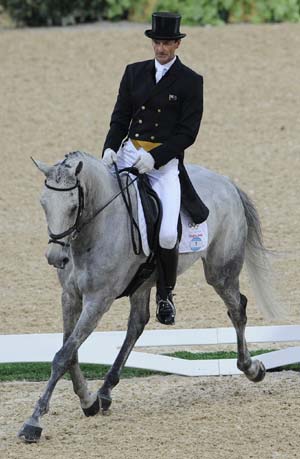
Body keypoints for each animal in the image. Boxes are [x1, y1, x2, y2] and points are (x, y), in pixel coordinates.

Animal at [18, 153, 282, 444]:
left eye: (73, 206)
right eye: (43, 203)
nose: (55, 258)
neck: (96, 229)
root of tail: (227, 183)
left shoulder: (98, 301)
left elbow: (63, 355)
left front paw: (33, 422)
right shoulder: (70, 297)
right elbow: (70, 352)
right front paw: (88, 400)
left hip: (220, 271)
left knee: (237, 310)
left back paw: (252, 368)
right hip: (144, 282)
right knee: (137, 324)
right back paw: (105, 391)